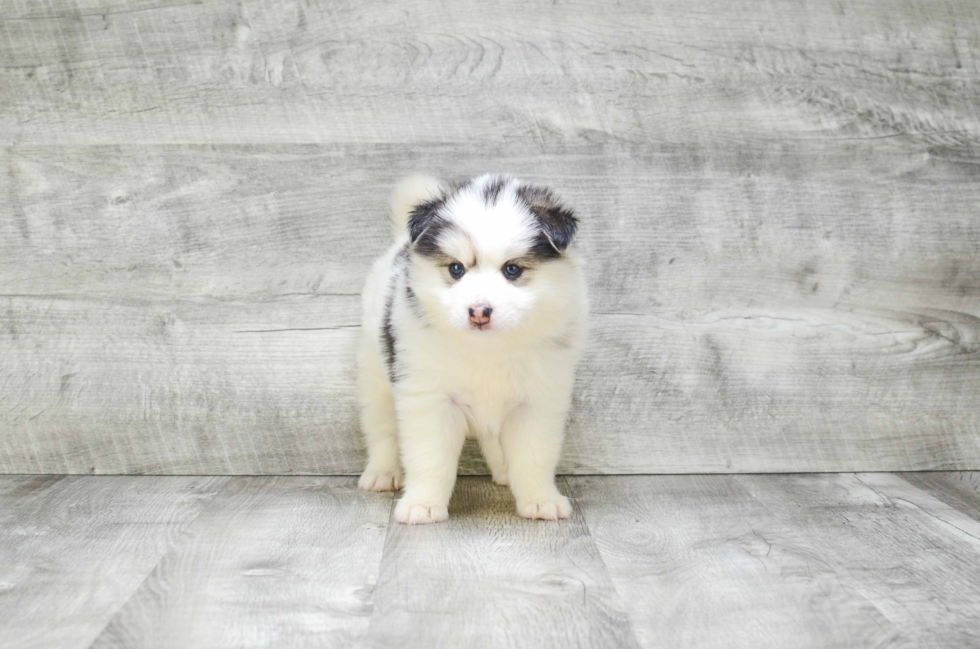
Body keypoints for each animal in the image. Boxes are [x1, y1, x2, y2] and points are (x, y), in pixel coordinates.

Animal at [360, 172, 588, 520]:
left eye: (512, 269)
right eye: (456, 269)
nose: (479, 311)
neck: (488, 348)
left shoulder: (536, 401)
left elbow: (533, 456)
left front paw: (540, 500)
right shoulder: (429, 398)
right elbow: (430, 457)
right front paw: (422, 505)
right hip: (377, 377)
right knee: (382, 429)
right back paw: (382, 474)